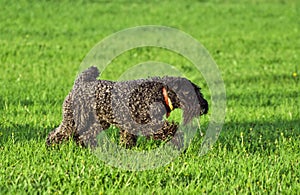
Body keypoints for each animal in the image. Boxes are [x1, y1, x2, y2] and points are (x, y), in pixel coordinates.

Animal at [46, 66, 209, 149]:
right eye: (190, 92)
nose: (204, 107)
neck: (157, 93)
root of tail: (79, 84)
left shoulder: (129, 125)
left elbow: (128, 138)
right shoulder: (148, 124)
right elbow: (168, 129)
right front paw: (178, 139)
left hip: (99, 122)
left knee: (85, 135)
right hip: (73, 120)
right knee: (58, 133)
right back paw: (50, 145)